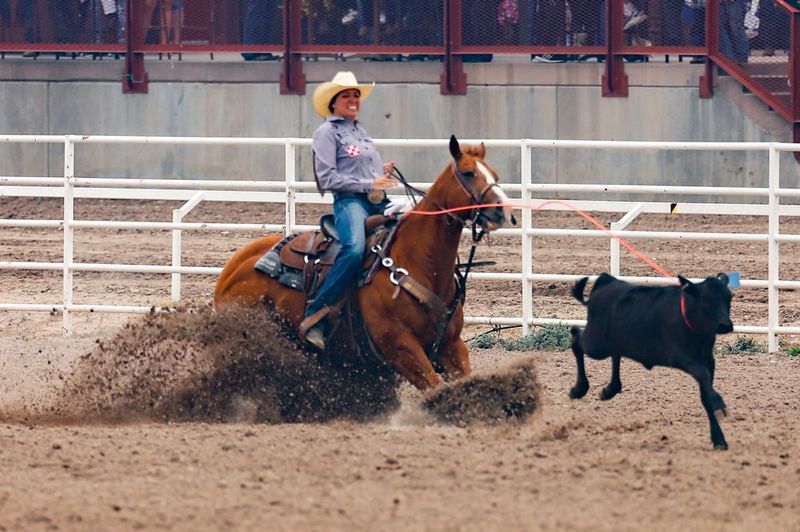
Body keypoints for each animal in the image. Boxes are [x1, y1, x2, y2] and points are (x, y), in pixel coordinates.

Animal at [216, 135, 510, 388]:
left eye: (495, 175)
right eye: (469, 173)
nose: (502, 210)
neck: (420, 263)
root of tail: (231, 271)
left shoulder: (452, 346)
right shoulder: (401, 348)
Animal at [572, 272, 736, 450]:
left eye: (729, 297)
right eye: (706, 299)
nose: (726, 325)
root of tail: (606, 281)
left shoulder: (709, 360)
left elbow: (706, 395)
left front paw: (719, 439)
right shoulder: (679, 356)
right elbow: (702, 374)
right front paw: (719, 405)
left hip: (613, 341)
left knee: (614, 354)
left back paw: (610, 389)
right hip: (596, 344)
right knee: (576, 338)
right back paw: (579, 389)